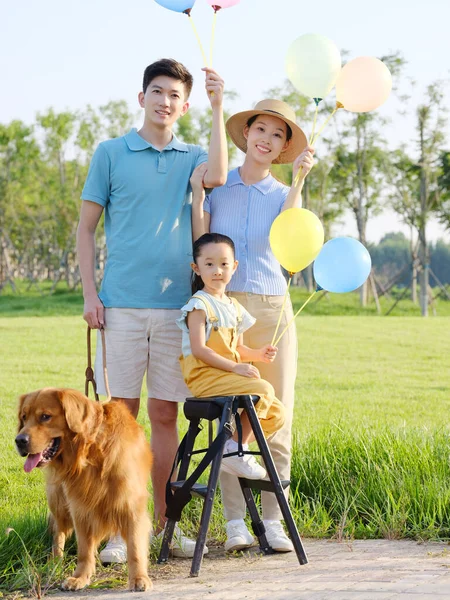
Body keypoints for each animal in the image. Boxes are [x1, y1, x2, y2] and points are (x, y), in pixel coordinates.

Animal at [15, 390, 153, 592]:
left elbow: (135, 547)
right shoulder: (80, 507)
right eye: (24, 418)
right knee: (58, 532)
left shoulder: (131, 506)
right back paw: (54, 562)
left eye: (45, 416)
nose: (19, 440)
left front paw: (139, 578)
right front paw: (80, 577)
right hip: (58, 500)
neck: (91, 450)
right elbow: (84, 549)